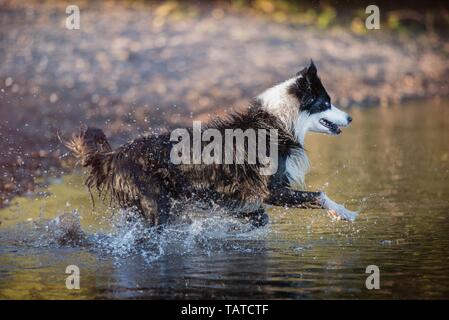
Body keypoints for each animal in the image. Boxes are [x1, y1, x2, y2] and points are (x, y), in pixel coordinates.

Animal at [66, 60, 358, 228]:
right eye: (327, 103)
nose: (350, 118)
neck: (276, 122)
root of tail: (114, 154)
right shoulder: (271, 190)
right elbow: (319, 195)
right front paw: (345, 213)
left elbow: (257, 216)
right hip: (154, 203)